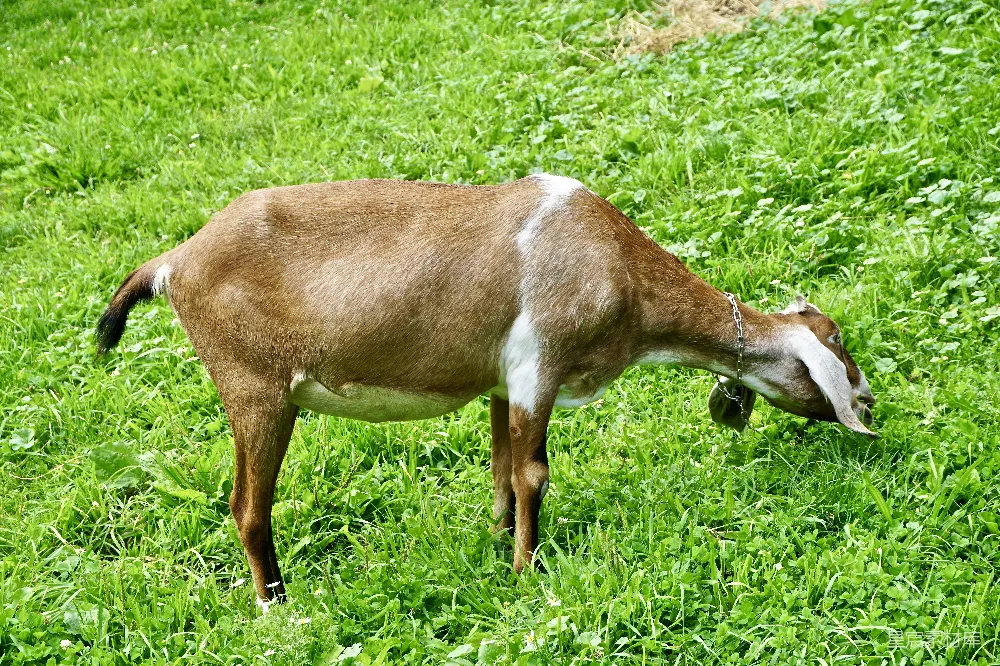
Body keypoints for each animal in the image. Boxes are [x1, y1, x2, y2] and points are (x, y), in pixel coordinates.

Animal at [96, 174, 877, 609]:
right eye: (838, 344)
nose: (870, 405)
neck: (613, 265)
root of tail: (173, 261)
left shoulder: (504, 382)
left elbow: (502, 470)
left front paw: (500, 548)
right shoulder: (539, 366)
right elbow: (535, 473)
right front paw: (528, 572)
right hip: (256, 389)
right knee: (247, 507)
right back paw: (278, 606)